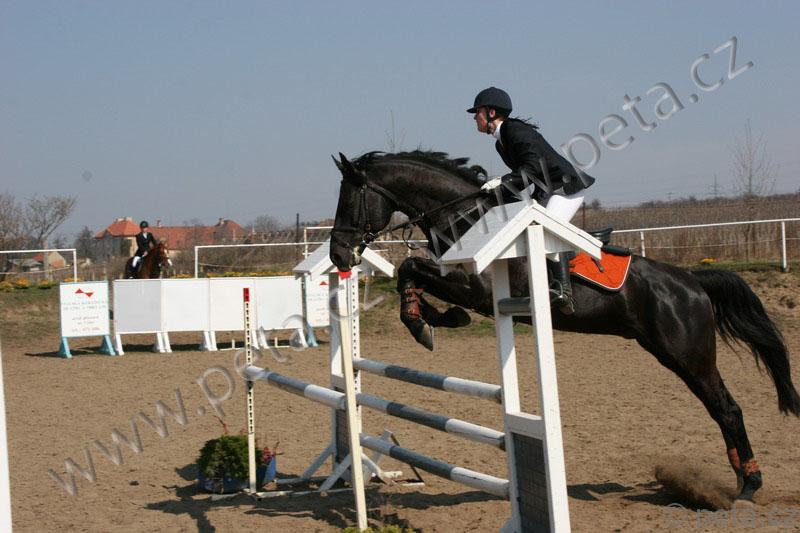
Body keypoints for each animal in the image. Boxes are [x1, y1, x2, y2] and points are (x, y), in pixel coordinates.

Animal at [328, 150, 799, 503]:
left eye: (350, 198)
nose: (338, 255)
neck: (465, 217)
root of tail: (692, 281)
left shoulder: (475, 289)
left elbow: (411, 268)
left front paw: (432, 322)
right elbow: (409, 272)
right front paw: (428, 320)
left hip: (689, 355)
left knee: (727, 409)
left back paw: (749, 484)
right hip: (668, 351)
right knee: (721, 410)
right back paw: (738, 481)